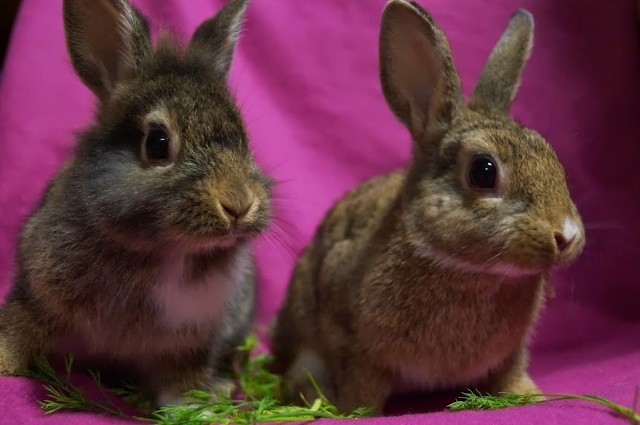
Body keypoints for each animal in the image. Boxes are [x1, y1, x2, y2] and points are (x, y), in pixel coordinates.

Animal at [0, 0, 272, 408]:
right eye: (157, 143)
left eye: (245, 140)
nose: (239, 204)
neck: (163, 251)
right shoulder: (36, 295)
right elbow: (18, 328)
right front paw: (2, 362)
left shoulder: (191, 341)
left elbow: (183, 376)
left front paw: (194, 404)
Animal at [270, 0, 584, 414]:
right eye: (483, 171)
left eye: (553, 157)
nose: (567, 235)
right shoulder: (354, 344)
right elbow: (362, 383)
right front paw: (358, 412)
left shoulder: (511, 352)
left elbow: (511, 372)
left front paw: (532, 396)